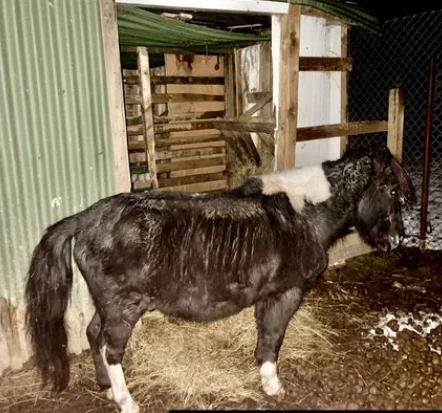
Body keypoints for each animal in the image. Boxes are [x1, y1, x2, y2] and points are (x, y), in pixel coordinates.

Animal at [25, 146, 414, 412]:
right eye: (393, 191)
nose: (398, 239)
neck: (303, 212)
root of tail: (85, 218)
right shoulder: (287, 292)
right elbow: (273, 337)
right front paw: (272, 385)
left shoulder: (269, 294)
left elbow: (264, 335)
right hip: (123, 309)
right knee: (111, 350)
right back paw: (126, 401)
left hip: (109, 305)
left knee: (93, 335)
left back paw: (106, 387)